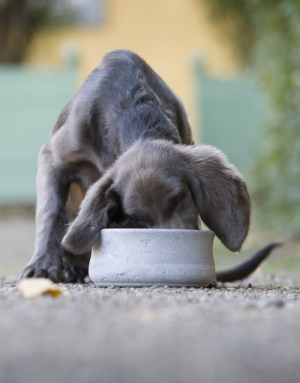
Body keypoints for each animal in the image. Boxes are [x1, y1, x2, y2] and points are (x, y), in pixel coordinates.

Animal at [19, 50, 278, 284]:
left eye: (180, 198)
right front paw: (43, 266)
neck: (135, 107)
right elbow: (51, 213)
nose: (173, 255)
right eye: (137, 218)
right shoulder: (53, 157)